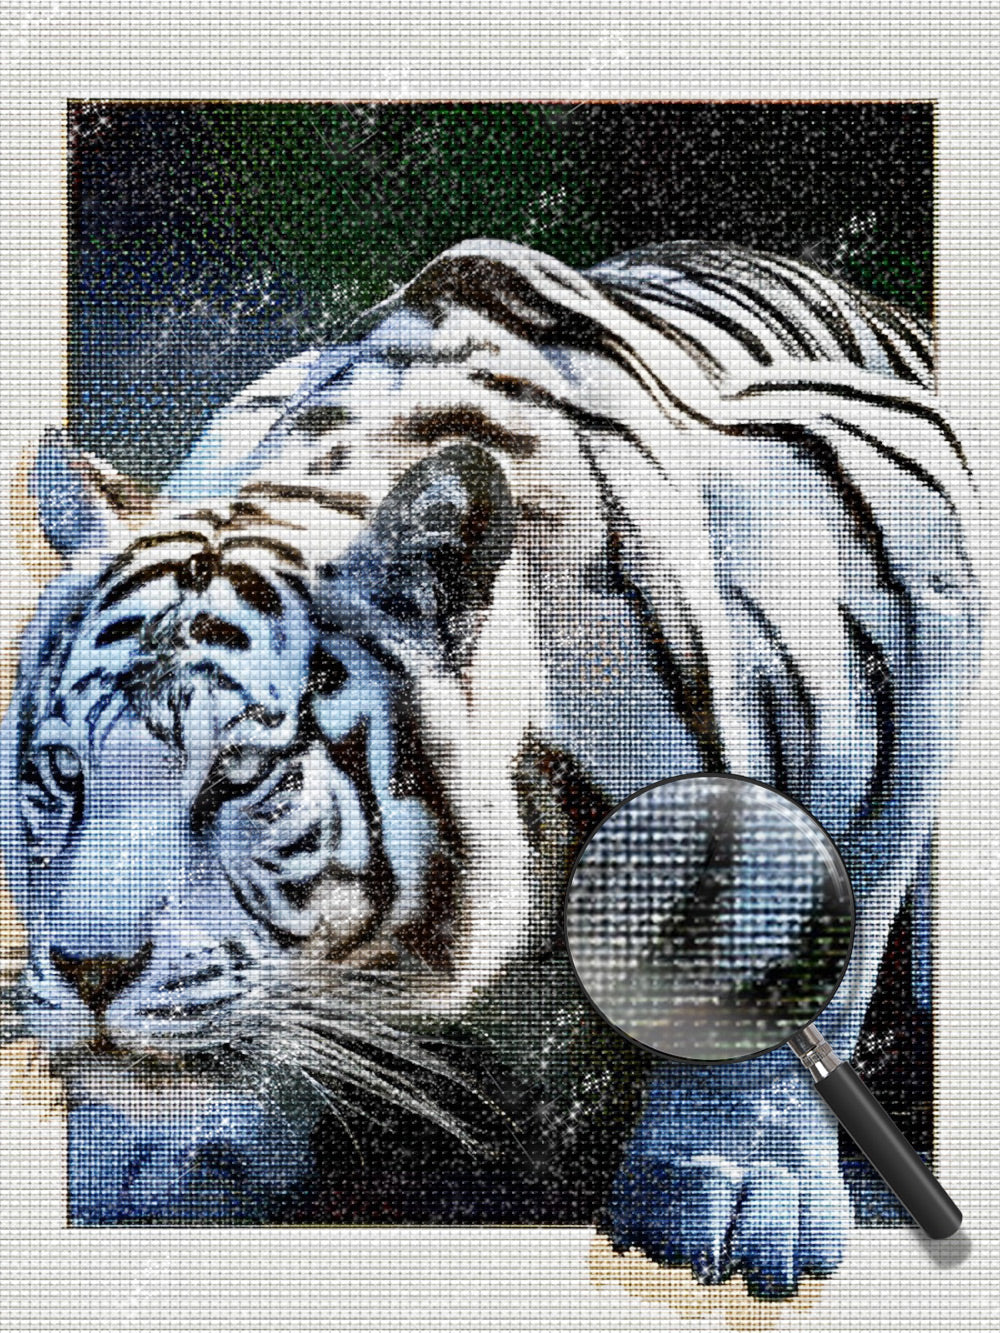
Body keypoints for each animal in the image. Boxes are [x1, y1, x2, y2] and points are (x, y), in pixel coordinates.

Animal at [0, 239, 979, 1293]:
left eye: (241, 772)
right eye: (62, 771)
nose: (90, 973)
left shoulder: (916, 578)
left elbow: (798, 955)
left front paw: (732, 1186)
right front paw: (162, 1146)